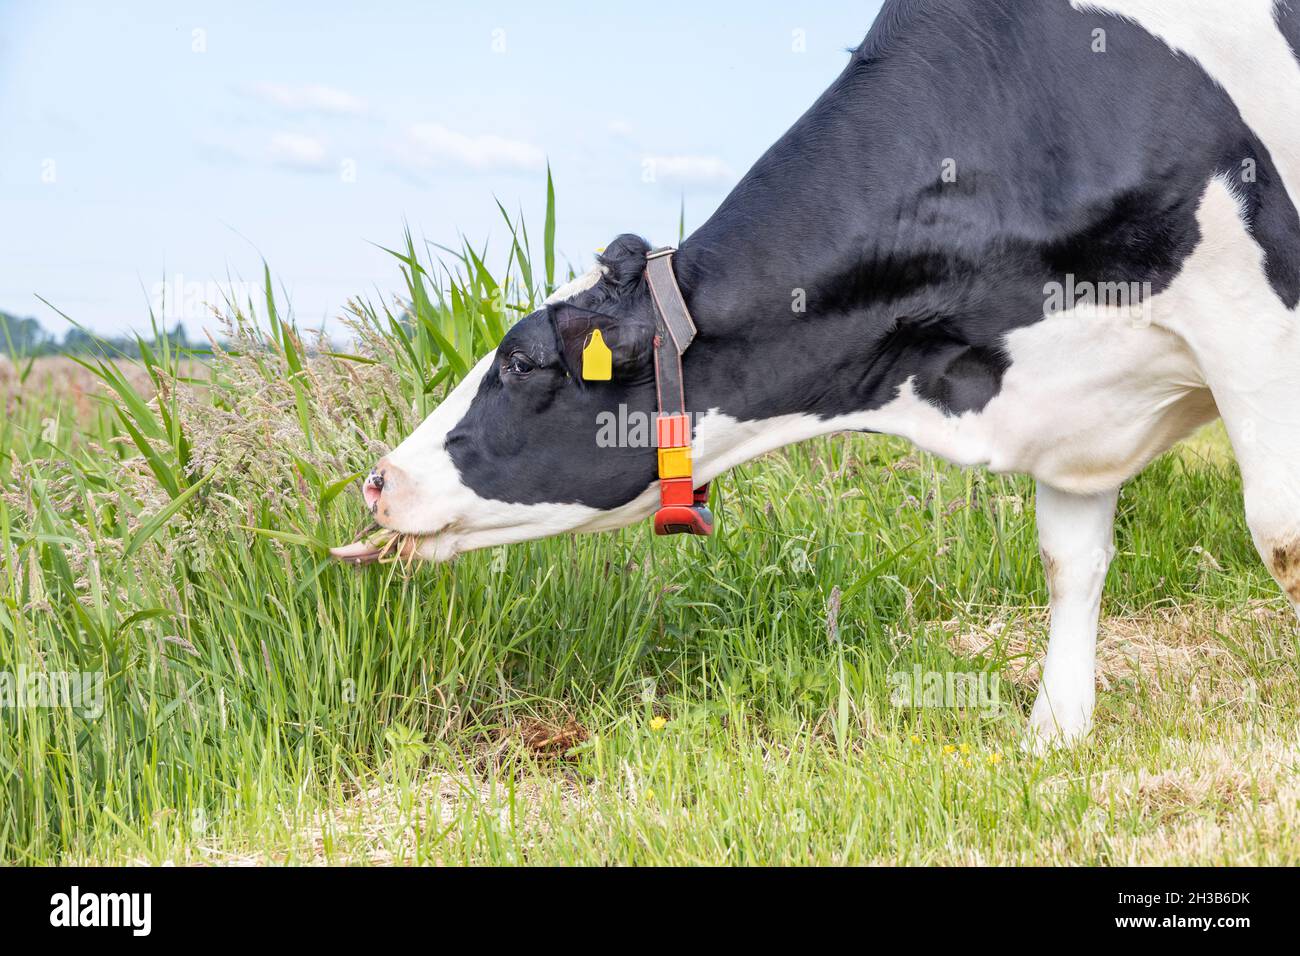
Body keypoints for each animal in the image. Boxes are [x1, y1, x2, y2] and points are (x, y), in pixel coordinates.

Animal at [332, 0, 1300, 749]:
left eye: (523, 360)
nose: (378, 480)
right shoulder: (1066, 397)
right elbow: (1070, 561)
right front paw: (1054, 736)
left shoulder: (1252, 318)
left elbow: (1279, 537)